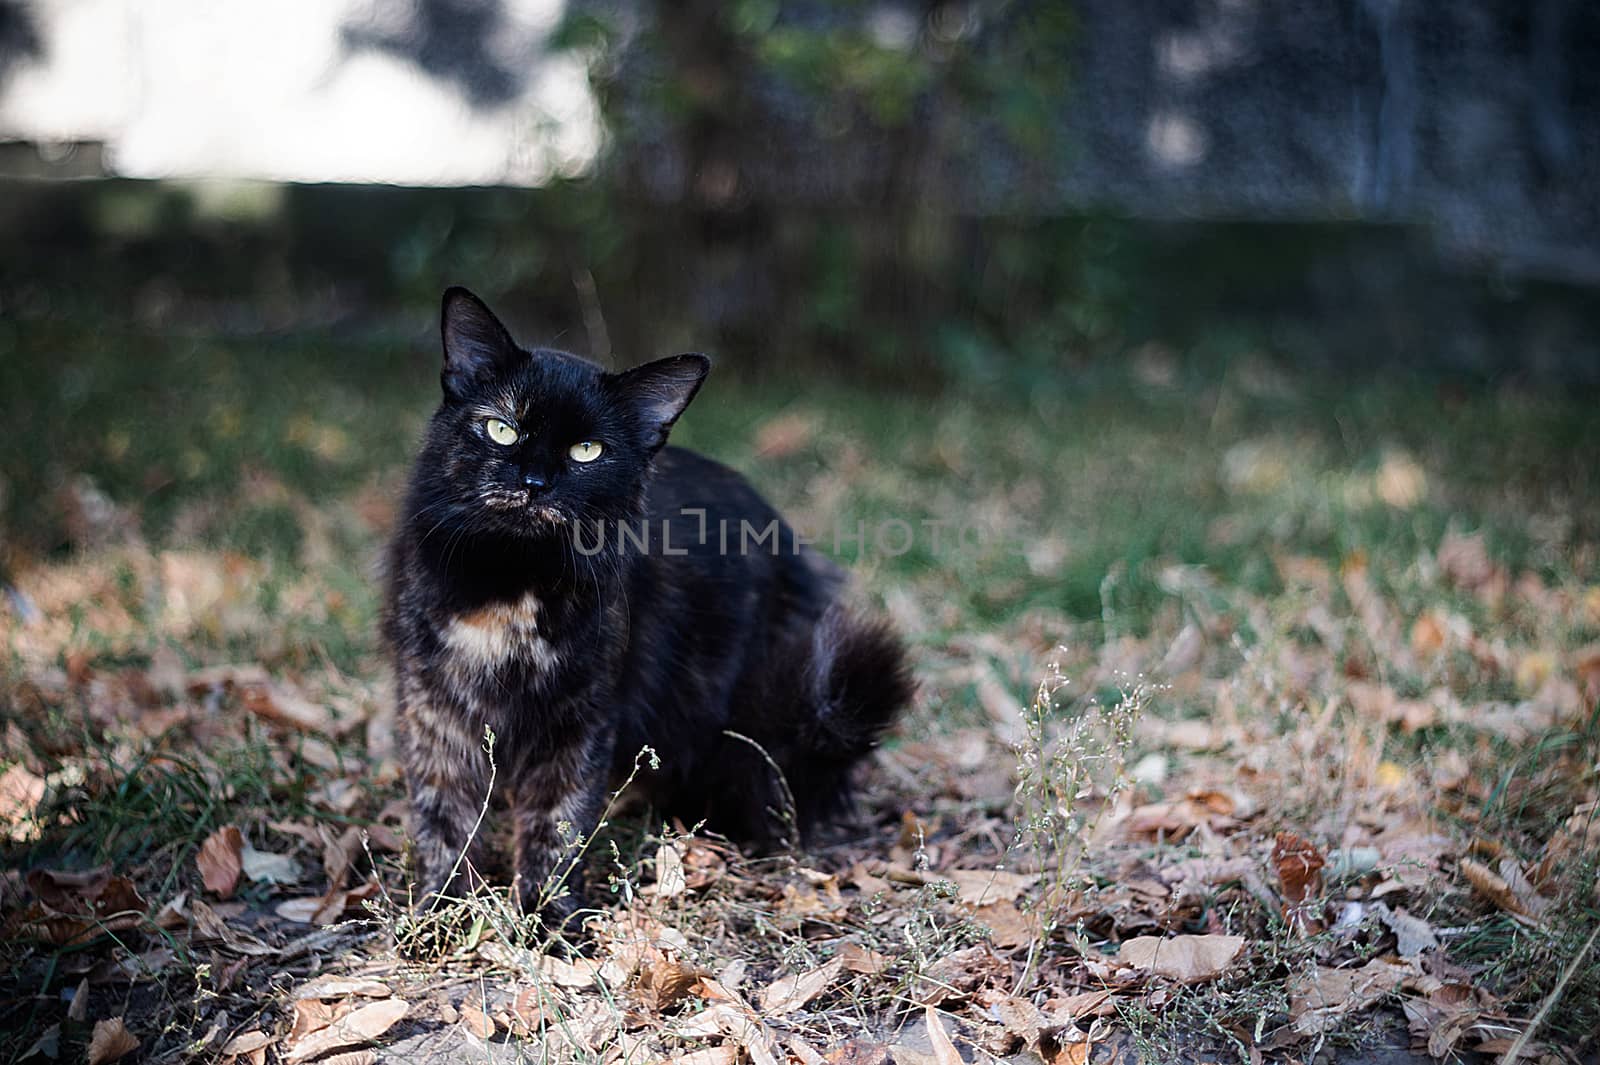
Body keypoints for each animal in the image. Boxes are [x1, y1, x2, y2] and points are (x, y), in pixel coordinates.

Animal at [380, 286, 915, 927]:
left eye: (587, 450)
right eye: (502, 430)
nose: (535, 482)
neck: (515, 578)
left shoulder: (583, 716)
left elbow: (557, 823)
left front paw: (548, 920)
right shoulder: (433, 706)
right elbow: (444, 820)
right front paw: (442, 916)